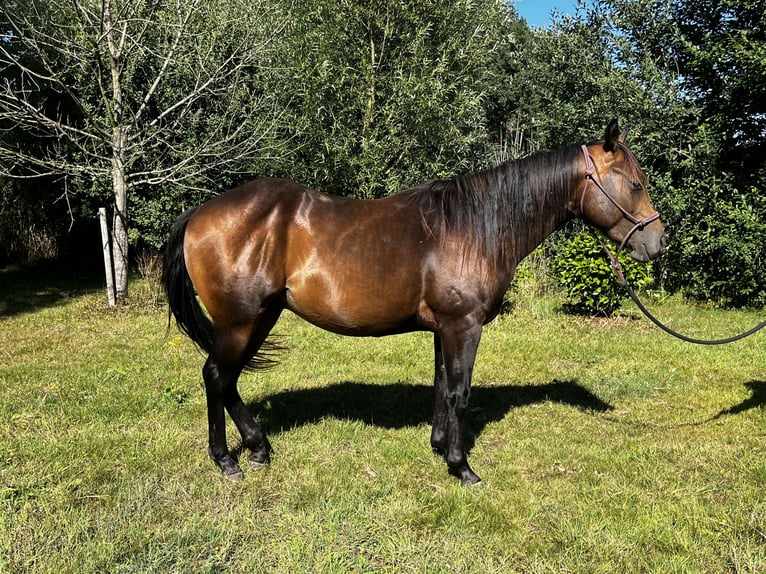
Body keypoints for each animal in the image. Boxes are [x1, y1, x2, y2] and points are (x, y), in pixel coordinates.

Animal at [162, 119, 666, 486]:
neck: (473, 229)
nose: (657, 243)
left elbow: (442, 387)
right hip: (240, 321)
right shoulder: (464, 325)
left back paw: (258, 448)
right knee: (216, 376)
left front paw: (440, 446)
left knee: (227, 380)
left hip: (260, 317)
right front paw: (462, 467)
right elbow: (460, 392)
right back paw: (226, 460)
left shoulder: (445, 328)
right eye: (636, 184)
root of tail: (200, 213)